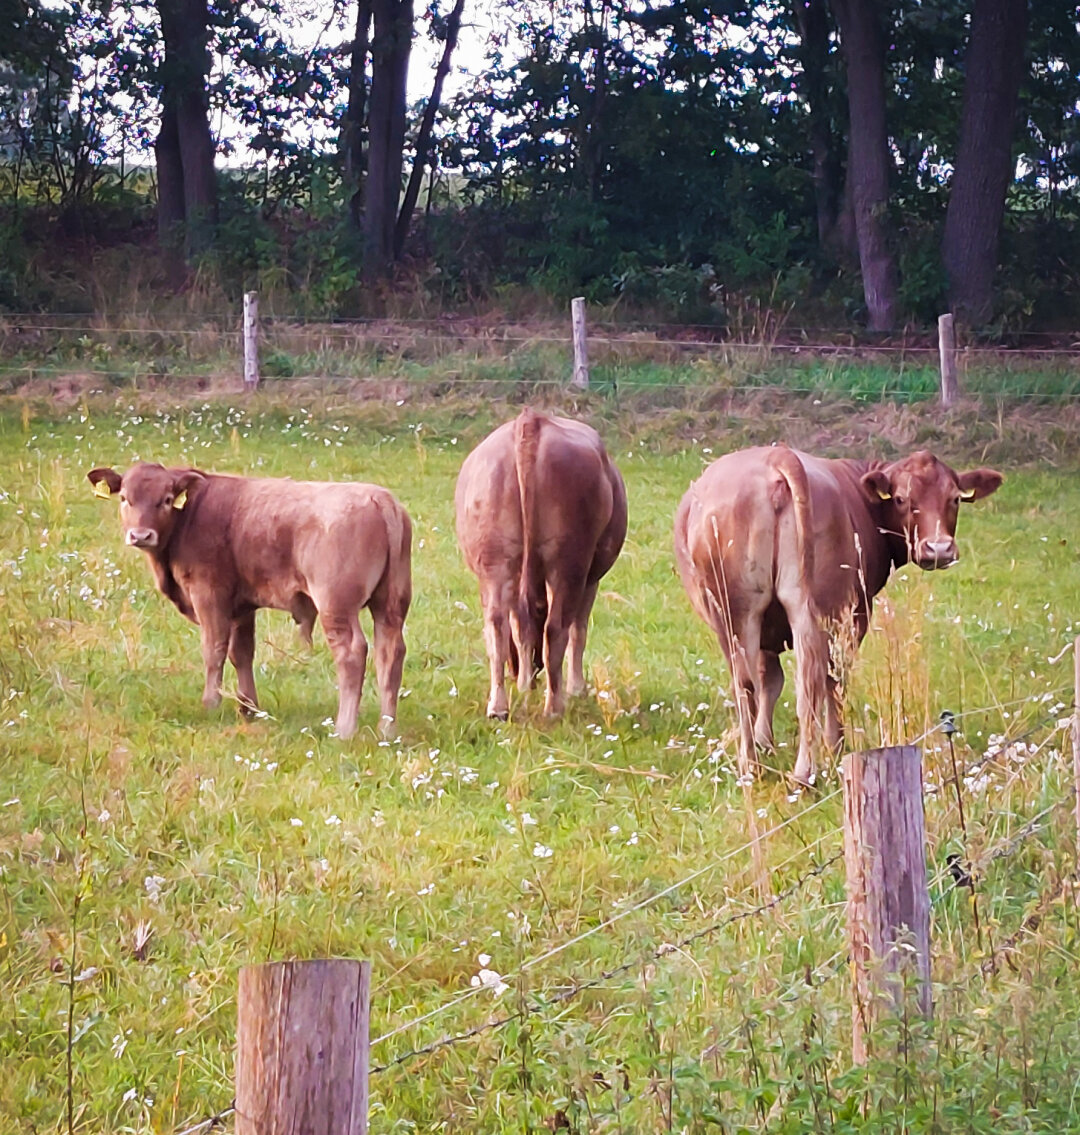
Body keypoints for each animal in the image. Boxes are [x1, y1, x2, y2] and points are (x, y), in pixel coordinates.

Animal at [87, 462, 412, 739]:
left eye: (166, 500)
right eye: (125, 498)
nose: (141, 535)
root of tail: (380, 498)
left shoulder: (209, 595)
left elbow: (214, 650)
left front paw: (211, 704)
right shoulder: (241, 607)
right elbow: (241, 653)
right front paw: (248, 708)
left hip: (336, 605)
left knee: (352, 653)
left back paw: (344, 729)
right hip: (391, 605)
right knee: (390, 653)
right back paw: (387, 729)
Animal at [455, 408, 628, 719]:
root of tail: (530, 421)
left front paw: (525, 684)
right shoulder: (591, 579)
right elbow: (579, 630)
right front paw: (577, 688)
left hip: (496, 558)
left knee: (498, 624)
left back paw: (498, 706)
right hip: (569, 562)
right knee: (557, 627)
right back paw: (555, 707)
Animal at [674, 446, 1002, 783]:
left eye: (955, 498)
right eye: (901, 499)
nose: (939, 549)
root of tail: (778, 457)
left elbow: (770, 679)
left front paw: (765, 742)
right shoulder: (857, 611)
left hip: (745, 611)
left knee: (758, 684)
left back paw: (759, 767)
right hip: (813, 610)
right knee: (817, 678)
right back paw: (807, 765)